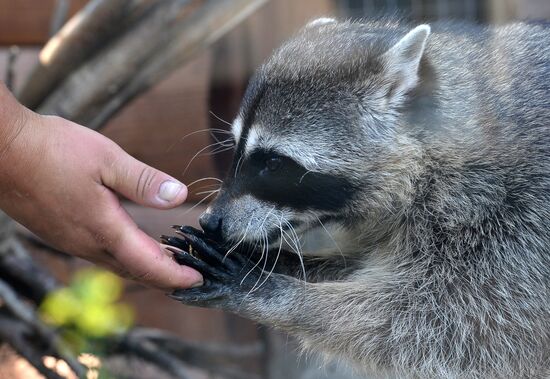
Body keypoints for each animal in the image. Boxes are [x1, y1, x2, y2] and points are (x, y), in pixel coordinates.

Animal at [167, 18, 550, 379]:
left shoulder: (511, 217)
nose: (211, 221)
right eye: (236, 149)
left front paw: (280, 293)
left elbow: (445, 327)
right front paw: (276, 262)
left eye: (274, 163)